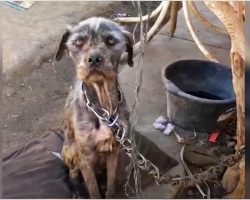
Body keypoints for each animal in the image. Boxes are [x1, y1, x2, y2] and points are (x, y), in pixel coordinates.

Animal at [54, 17, 133, 198]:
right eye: (78, 41)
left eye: (111, 41)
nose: (94, 59)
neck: (102, 107)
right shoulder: (85, 157)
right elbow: (93, 190)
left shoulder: (114, 150)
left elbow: (111, 184)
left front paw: (109, 190)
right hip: (71, 149)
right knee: (72, 173)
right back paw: (77, 190)